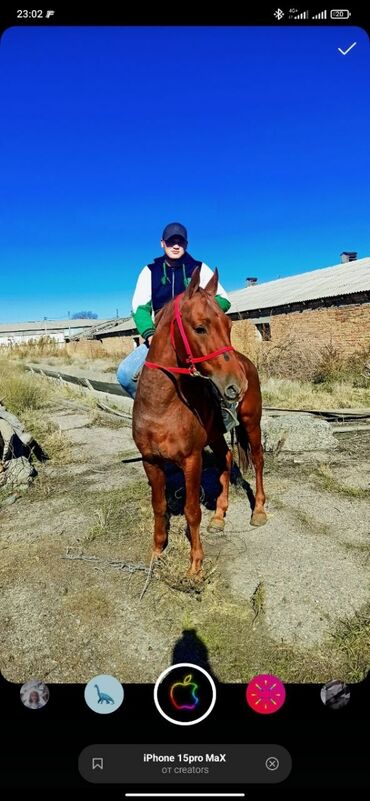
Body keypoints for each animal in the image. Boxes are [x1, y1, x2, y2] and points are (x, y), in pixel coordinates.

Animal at [132, 268, 268, 576]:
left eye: (228, 325)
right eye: (199, 328)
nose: (237, 384)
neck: (162, 406)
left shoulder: (191, 460)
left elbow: (191, 511)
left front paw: (195, 564)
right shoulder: (151, 461)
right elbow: (159, 506)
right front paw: (157, 552)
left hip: (251, 423)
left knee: (257, 460)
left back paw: (259, 511)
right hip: (217, 435)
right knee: (226, 458)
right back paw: (218, 515)